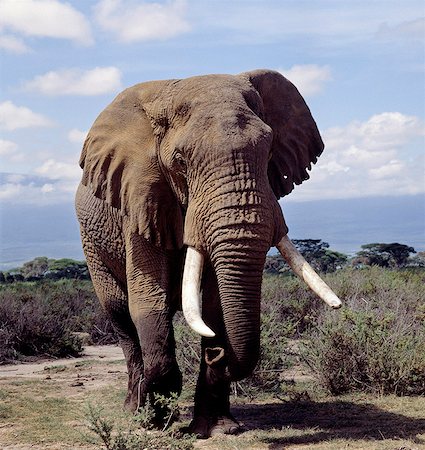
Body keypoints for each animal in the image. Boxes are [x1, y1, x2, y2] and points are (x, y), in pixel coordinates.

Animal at [75, 68, 342, 438]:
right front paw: (156, 422)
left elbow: (215, 305)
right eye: (181, 162)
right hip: (91, 241)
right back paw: (134, 410)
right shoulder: (141, 196)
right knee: (119, 312)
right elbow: (147, 299)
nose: (217, 351)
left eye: (269, 151)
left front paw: (218, 429)